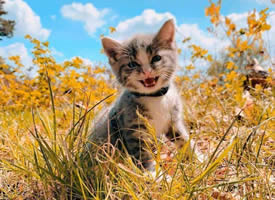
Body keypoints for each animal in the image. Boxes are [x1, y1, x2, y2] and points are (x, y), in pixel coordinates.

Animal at [89, 19, 204, 171]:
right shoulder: (133, 128)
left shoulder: (174, 120)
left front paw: (201, 159)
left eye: (156, 58)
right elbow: (142, 153)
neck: (155, 97)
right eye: (132, 64)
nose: (147, 71)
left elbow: (184, 139)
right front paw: (154, 173)